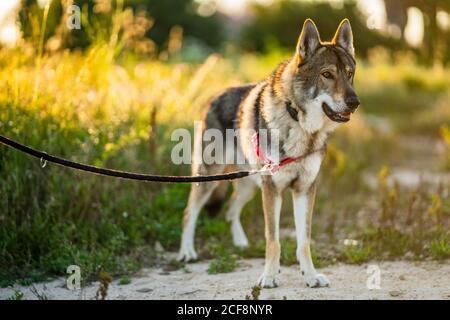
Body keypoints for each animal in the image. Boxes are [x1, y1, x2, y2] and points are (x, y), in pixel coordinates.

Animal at [178, 18, 360, 288]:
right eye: (327, 74)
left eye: (349, 74)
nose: (354, 102)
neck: (299, 124)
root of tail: (214, 97)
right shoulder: (273, 190)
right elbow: (273, 240)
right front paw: (269, 277)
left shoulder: (304, 189)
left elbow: (304, 241)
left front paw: (311, 276)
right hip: (210, 180)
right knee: (190, 212)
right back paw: (187, 252)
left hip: (249, 185)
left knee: (230, 209)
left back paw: (241, 244)